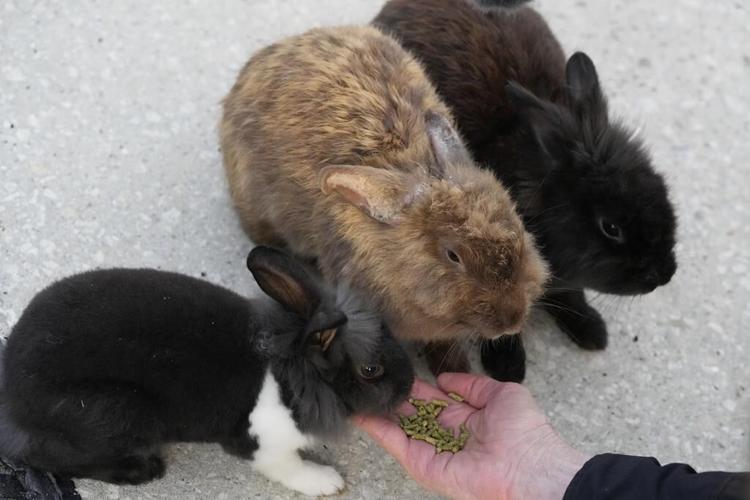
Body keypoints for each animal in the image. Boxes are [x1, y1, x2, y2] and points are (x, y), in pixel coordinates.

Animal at [0, 246, 414, 496]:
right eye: (371, 369)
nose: (409, 387)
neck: (291, 369)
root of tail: (12, 397)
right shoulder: (263, 444)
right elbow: (288, 466)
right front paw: (327, 482)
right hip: (115, 415)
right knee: (48, 458)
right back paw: (145, 471)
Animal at [373, 0, 677, 382]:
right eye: (611, 227)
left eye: (661, 187)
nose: (664, 275)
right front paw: (508, 368)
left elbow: (571, 294)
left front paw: (592, 331)